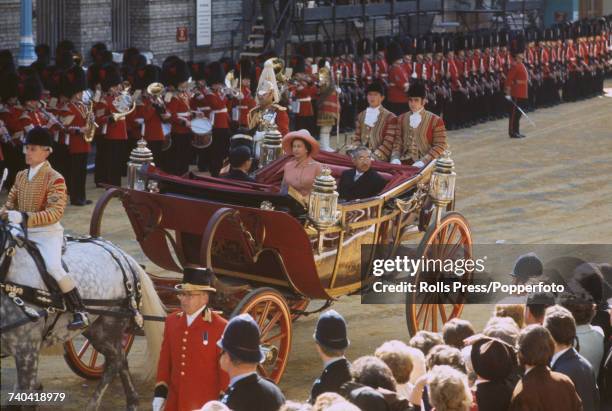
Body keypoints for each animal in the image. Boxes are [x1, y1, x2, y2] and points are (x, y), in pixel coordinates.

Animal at [0, 224, 167, 410]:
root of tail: (121, 255)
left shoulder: (27, 350)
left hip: (108, 326)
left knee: (116, 360)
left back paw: (95, 405)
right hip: (95, 328)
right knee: (120, 358)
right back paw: (132, 402)